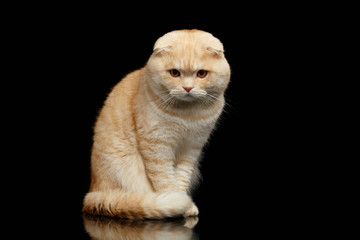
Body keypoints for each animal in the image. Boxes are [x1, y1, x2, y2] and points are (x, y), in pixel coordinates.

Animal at [82, 29, 231, 218]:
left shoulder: (191, 149)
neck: (187, 115)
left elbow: (181, 178)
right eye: (174, 73)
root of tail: (93, 191)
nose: (188, 88)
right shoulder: (156, 148)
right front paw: (179, 203)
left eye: (201, 74)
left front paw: (186, 205)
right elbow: (166, 181)